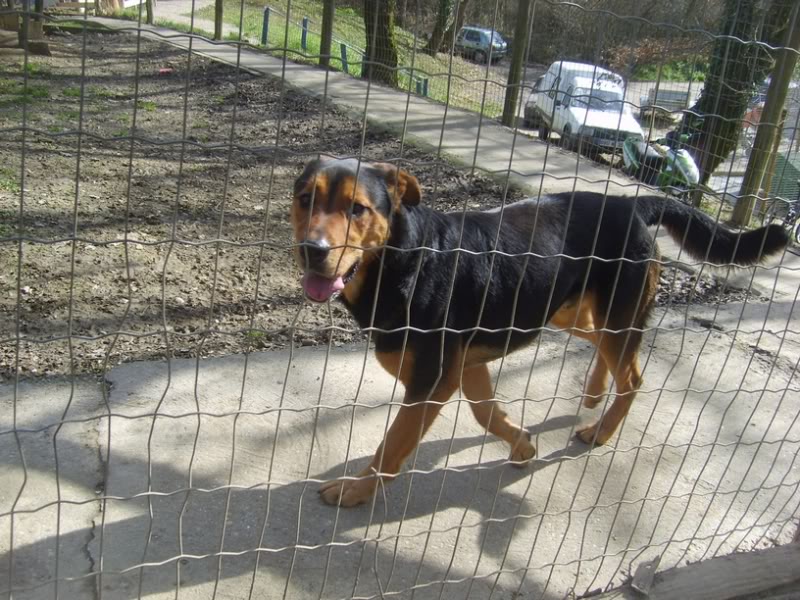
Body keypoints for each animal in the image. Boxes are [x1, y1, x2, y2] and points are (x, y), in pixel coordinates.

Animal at [290, 156, 784, 506]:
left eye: (357, 209)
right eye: (305, 199)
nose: (313, 250)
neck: (405, 258)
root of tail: (629, 203)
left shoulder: (433, 378)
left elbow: (393, 444)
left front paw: (356, 490)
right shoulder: (464, 366)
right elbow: (485, 414)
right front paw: (523, 444)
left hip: (613, 314)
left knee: (632, 375)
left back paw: (602, 429)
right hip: (564, 311)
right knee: (603, 346)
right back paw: (593, 392)